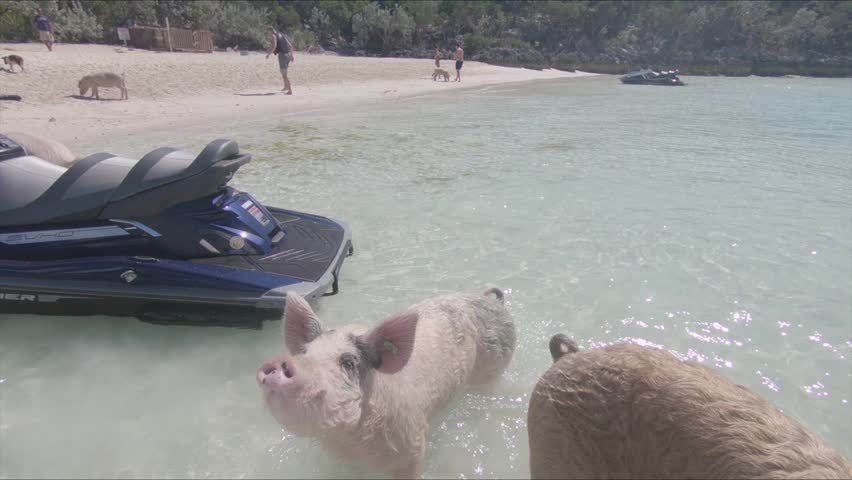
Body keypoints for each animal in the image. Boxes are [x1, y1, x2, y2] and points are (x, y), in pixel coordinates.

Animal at [257, 288, 516, 478]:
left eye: (348, 362)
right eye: (305, 352)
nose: (278, 362)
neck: (351, 442)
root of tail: (493, 301)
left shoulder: (413, 447)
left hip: (496, 366)